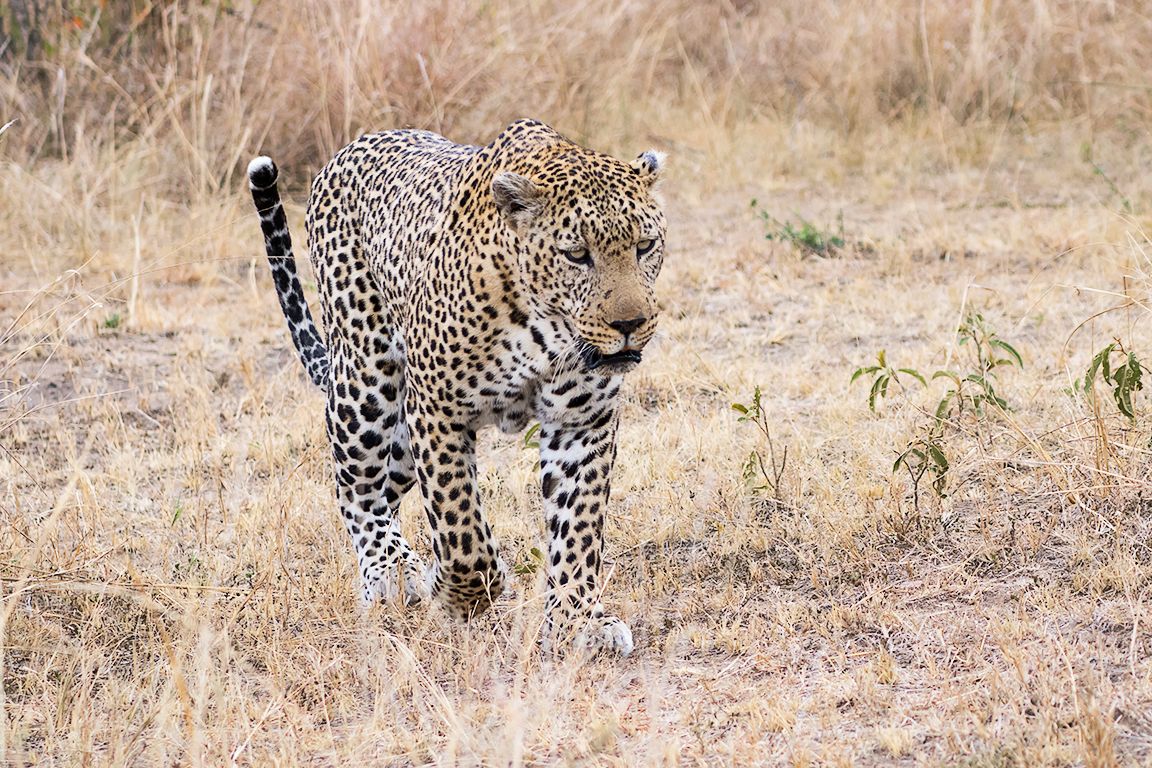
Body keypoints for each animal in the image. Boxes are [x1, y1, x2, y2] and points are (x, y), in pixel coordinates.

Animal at [246, 118, 666, 655]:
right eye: (577, 256)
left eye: (645, 246)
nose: (630, 324)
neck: (545, 327)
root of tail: (343, 152)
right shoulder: (437, 410)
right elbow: (460, 524)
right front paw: (461, 595)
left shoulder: (582, 422)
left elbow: (578, 529)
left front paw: (578, 620)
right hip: (368, 384)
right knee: (356, 488)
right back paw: (389, 570)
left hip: (400, 435)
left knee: (387, 488)